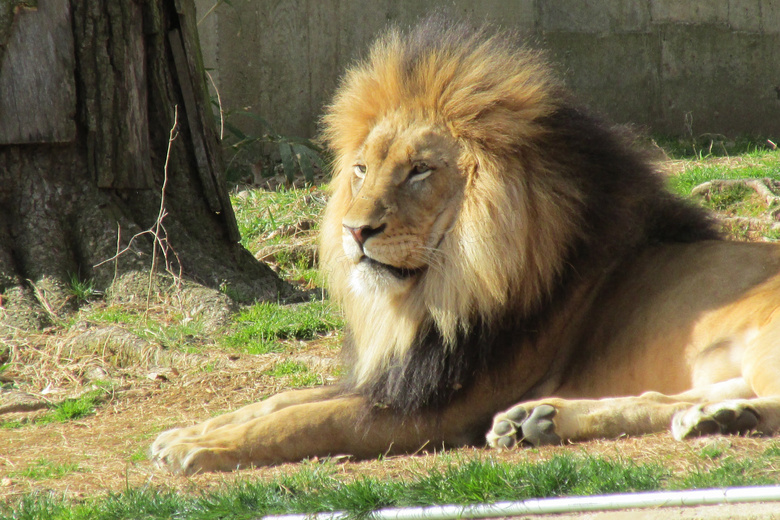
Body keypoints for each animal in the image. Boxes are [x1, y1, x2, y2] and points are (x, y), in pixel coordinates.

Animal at [151, 18, 780, 474]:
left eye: (419, 172)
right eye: (361, 169)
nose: (355, 231)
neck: (441, 294)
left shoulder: (437, 411)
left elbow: (305, 422)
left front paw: (196, 450)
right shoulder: (397, 380)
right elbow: (281, 401)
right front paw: (188, 431)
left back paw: (728, 416)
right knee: (674, 398)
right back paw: (550, 420)